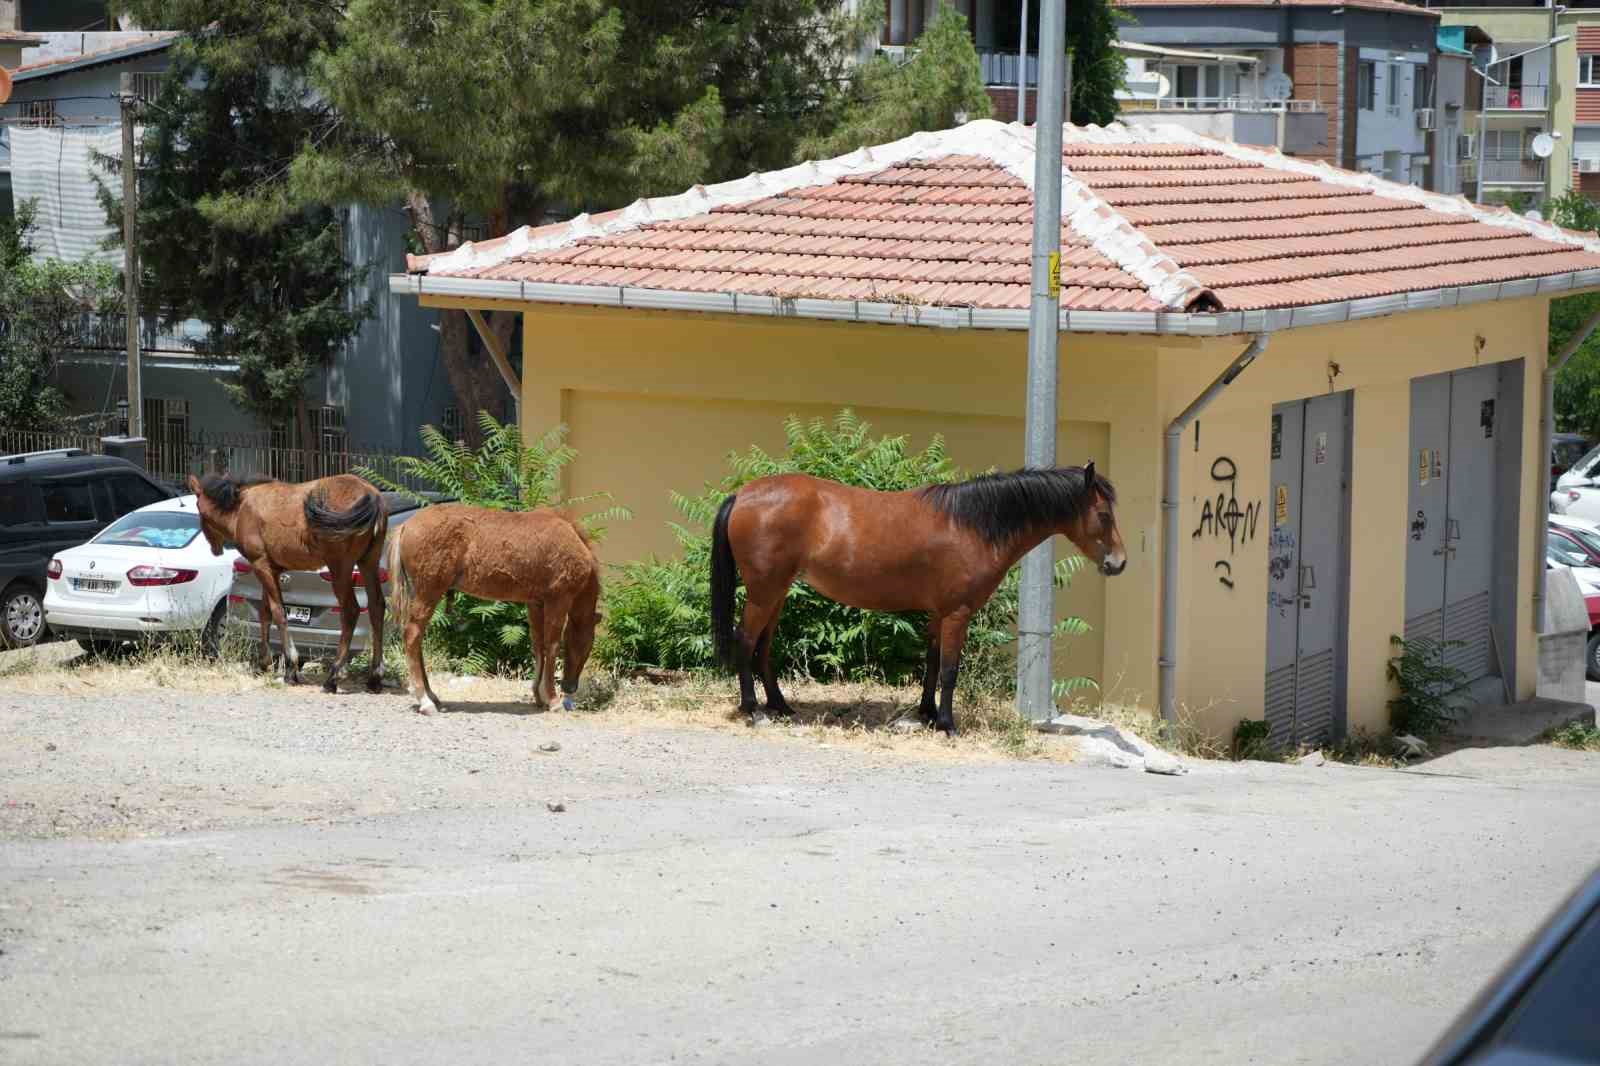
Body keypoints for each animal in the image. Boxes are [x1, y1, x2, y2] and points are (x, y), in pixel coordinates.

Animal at [184, 473, 387, 688]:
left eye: (198, 509)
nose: (215, 549)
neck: (241, 509)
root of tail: (372, 495)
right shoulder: (271, 569)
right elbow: (265, 612)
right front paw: (264, 663)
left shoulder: (261, 564)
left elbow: (279, 612)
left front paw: (290, 667)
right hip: (368, 561)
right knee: (377, 606)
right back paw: (375, 676)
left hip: (340, 566)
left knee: (351, 610)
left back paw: (333, 675)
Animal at [384, 499, 601, 713]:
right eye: (586, 647)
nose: (570, 687)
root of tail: (405, 525)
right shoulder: (558, 600)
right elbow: (552, 645)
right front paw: (554, 700)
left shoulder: (536, 603)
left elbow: (539, 645)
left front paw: (540, 696)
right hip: (429, 592)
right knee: (412, 635)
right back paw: (425, 701)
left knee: (417, 639)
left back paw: (433, 697)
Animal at [707, 460, 1132, 736]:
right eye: (1103, 515)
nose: (1119, 562)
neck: (972, 526)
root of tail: (743, 495)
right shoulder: (958, 613)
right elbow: (949, 669)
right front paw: (947, 725)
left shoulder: (938, 613)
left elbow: (931, 663)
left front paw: (926, 715)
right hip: (764, 592)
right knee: (746, 642)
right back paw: (753, 710)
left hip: (776, 593)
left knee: (763, 647)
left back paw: (779, 706)